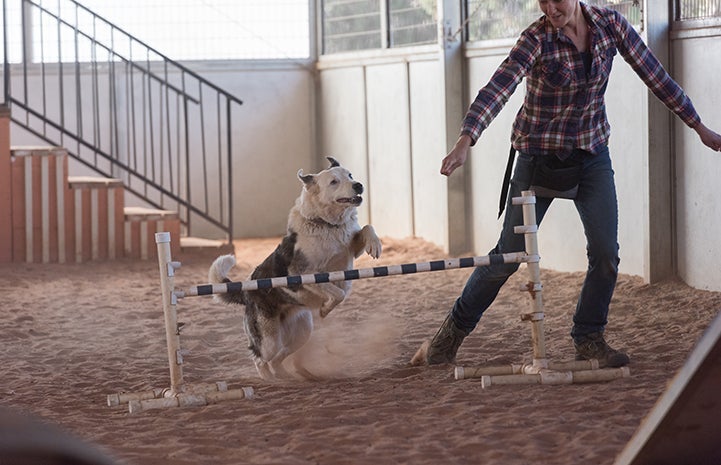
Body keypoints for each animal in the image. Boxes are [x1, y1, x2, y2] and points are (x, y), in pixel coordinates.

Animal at [208, 158, 382, 378]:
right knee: (260, 358)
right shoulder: (304, 273)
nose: (358, 185)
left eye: (349, 175)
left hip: (302, 332)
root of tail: (246, 292)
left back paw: (286, 376)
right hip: (269, 340)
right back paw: (269, 379)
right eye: (334, 182)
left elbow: (367, 228)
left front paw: (375, 245)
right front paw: (325, 309)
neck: (327, 225)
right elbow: (336, 292)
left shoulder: (349, 250)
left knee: (278, 358)